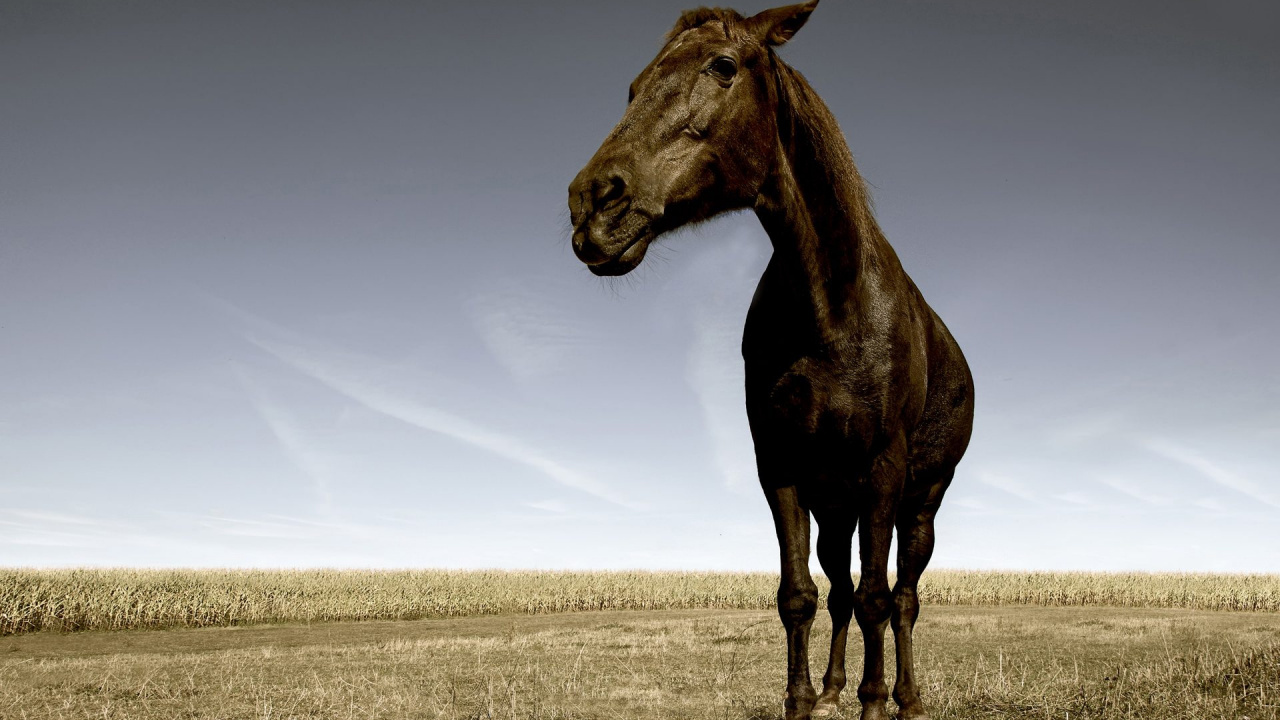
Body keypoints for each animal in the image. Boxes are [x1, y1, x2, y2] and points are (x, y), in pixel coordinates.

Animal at [567, 3, 974, 718]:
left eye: (723, 66)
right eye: (634, 86)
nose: (591, 203)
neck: (833, 308)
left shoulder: (884, 468)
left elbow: (877, 597)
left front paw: (874, 703)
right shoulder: (780, 466)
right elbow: (800, 597)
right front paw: (805, 700)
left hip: (920, 503)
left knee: (902, 598)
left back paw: (906, 696)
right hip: (836, 508)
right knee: (840, 592)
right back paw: (839, 687)